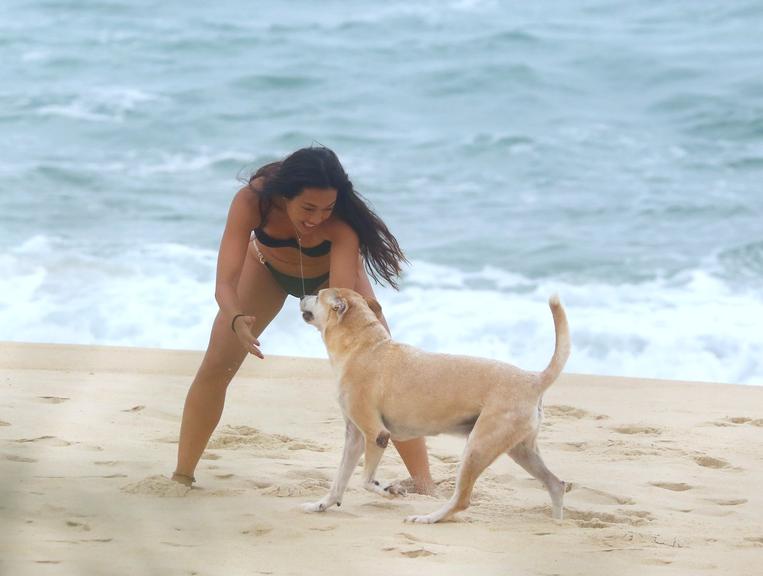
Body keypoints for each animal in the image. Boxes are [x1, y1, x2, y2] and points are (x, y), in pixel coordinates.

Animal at [302, 288, 572, 520]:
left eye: (318, 294)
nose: (303, 295)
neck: (365, 346)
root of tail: (533, 380)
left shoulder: (376, 434)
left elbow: (366, 480)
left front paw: (390, 490)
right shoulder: (355, 437)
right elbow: (339, 480)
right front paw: (321, 505)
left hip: (477, 448)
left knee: (461, 500)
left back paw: (428, 518)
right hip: (520, 450)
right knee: (556, 484)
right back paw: (557, 523)